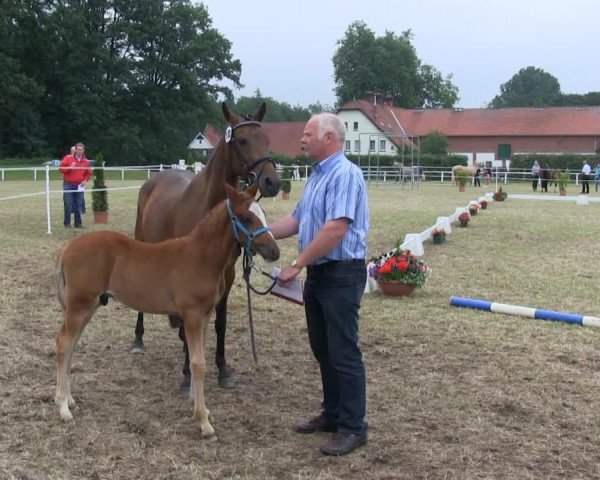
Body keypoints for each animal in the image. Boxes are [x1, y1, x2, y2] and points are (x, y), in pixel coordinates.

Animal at [54, 184, 278, 438]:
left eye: (263, 214)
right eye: (246, 217)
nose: (274, 251)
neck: (202, 256)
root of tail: (68, 248)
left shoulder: (204, 315)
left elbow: (197, 358)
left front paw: (200, 409)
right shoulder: (192, 314)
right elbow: (198, 364)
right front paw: (203, 422)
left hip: (88, 306)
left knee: (71, 346)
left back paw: (70, 400)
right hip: (79, 305)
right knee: (63, 343)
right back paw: (63, 407)